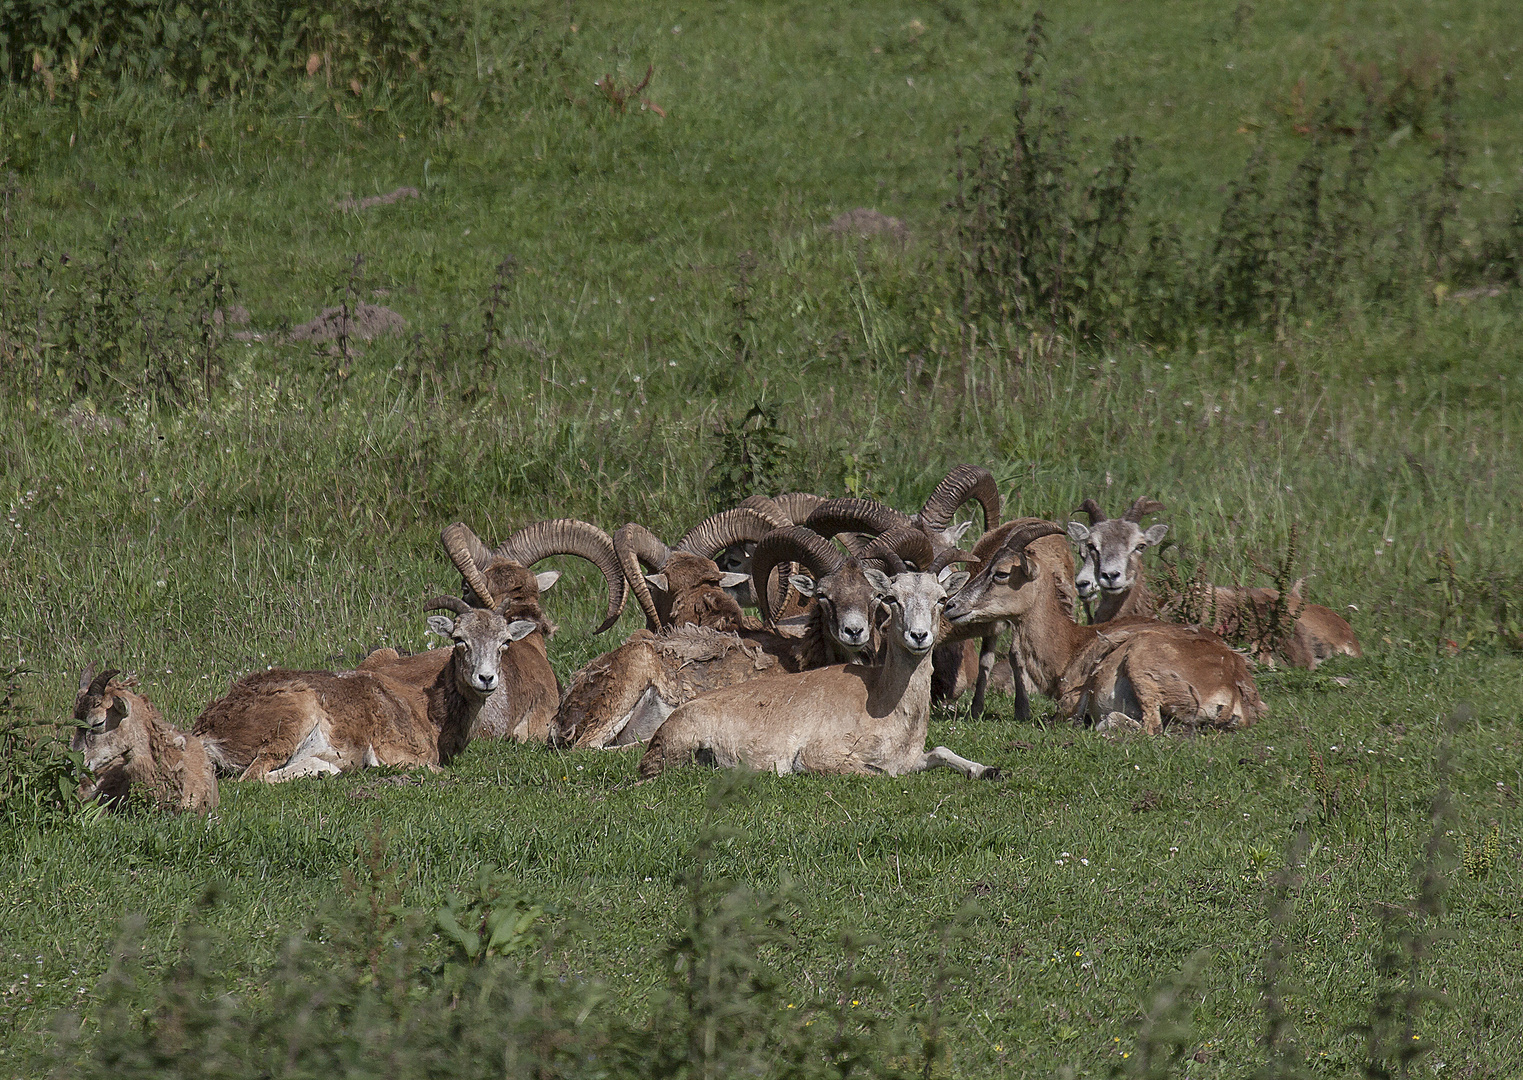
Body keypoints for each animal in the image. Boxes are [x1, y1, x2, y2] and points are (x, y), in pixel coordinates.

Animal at [194, 594, 536, 779]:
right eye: (459, 639)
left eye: (505, 641)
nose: (486, 678)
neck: (427, 713)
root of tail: (207, 731)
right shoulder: (399, 754)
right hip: (295, 714)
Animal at [633, 560, 999, 779]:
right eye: (892, 598)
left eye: (941, 599)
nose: (919, 636)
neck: (885, 703)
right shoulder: (824, 754)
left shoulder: (911, 758)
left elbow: (941, 751)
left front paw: (988, 769)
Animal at [944, 520, 1267, 734]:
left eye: (1000, 573)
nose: (951, 605)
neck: (1073, 645)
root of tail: (1233, 689)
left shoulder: (1070, 701)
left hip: (1140, 662)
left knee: (1148, 725)